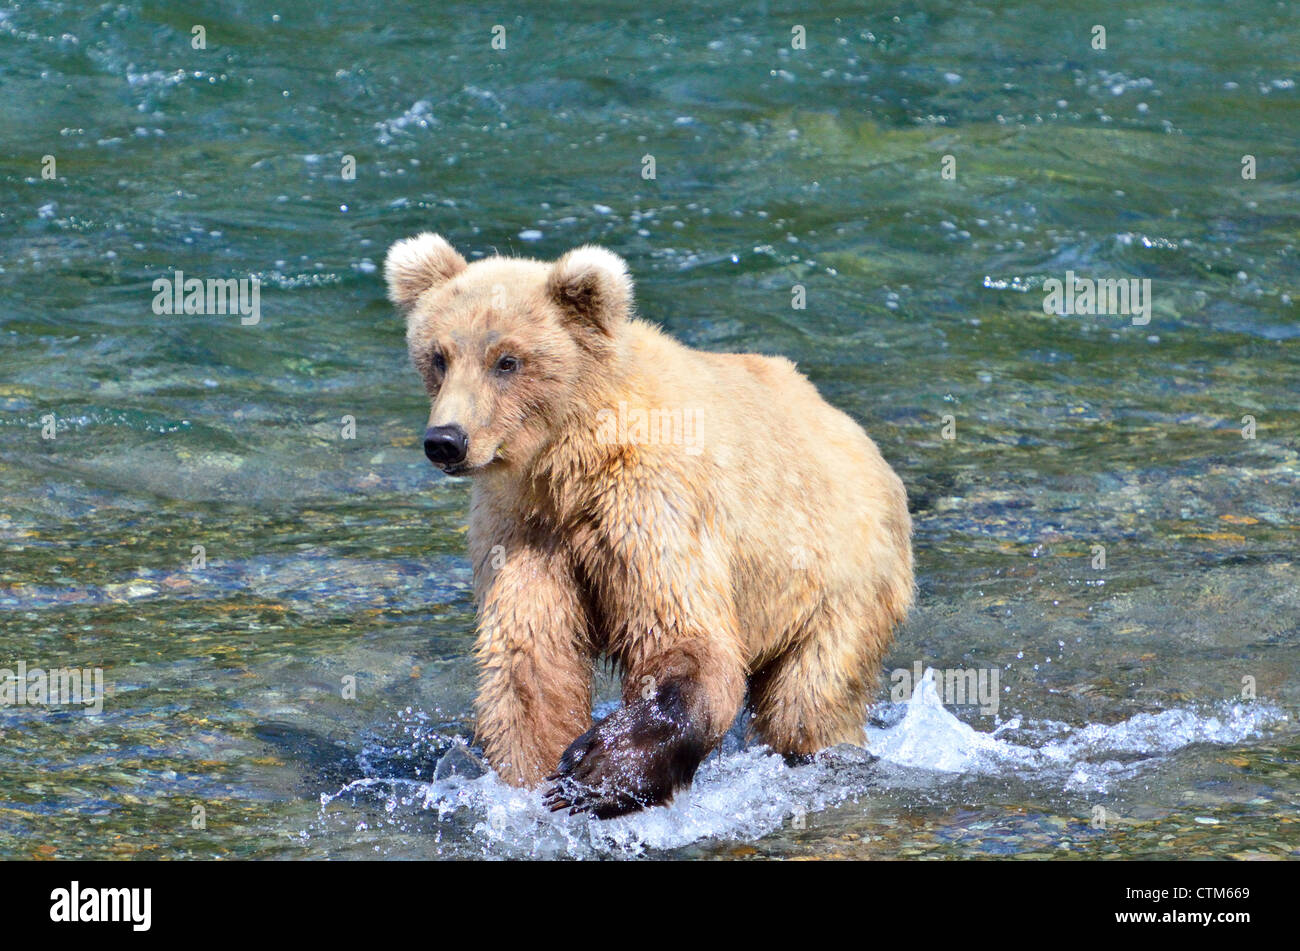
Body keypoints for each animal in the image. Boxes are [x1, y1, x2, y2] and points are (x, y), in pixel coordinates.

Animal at [385, 233, 913, 818]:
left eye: (507, 360)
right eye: (438, 356)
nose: (446, 440)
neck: (566, 464)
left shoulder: (649, 502)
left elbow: (682, 636)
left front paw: (595, 771)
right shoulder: (524, 529)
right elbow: (531, 660)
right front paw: (533, 779)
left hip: (837, 580)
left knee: (810, 701)